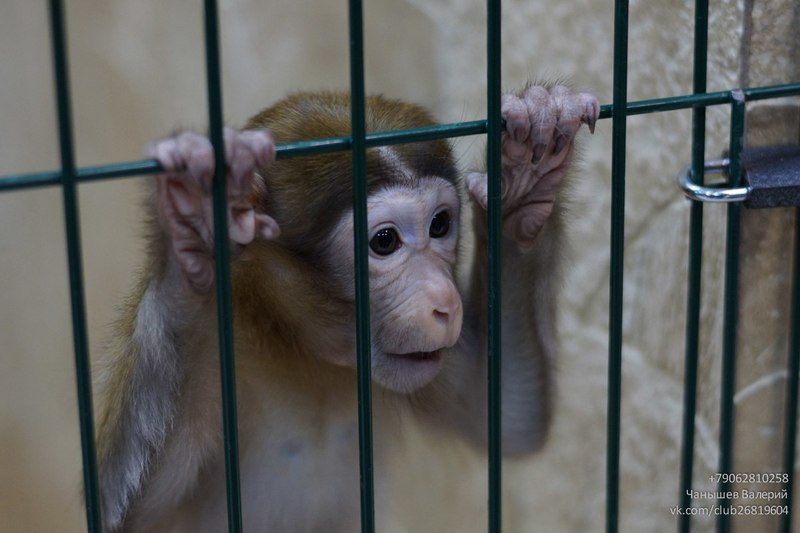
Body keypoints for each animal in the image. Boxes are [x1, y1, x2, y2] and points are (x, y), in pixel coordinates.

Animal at [95, 85, 592, 528]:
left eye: (440, 225)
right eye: (385, 241)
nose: (446, 303)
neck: (292, 343)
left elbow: (509, 419)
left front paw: (523, 181)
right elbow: (126, 515)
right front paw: (192, 231)